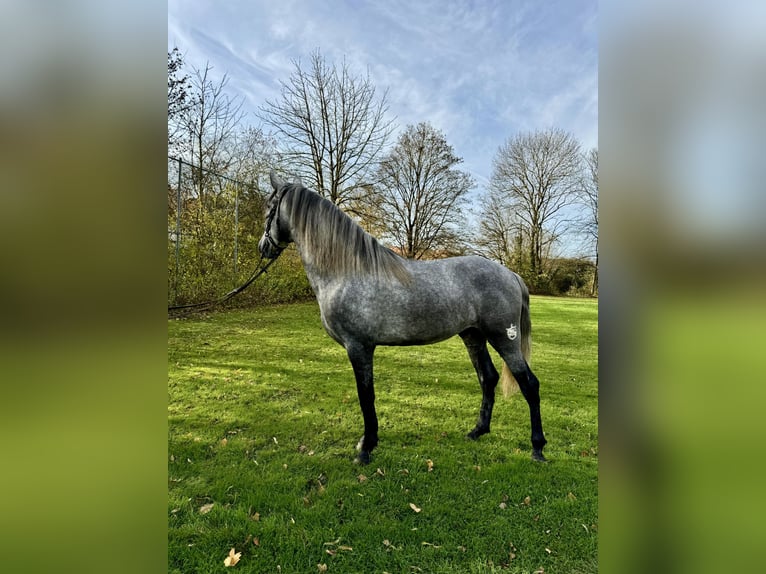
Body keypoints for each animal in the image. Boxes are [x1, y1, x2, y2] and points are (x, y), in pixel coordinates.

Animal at [260, 173, 548, 466]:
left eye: (268, 209)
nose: (263, 247)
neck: (346, 271)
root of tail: (510, 274)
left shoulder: (359, 347)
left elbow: (366, 395)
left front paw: (366, 448)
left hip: (504, 338)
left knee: (529, 384)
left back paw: (537, 448)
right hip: (473, 335)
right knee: (487, 378)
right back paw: (478, 431)